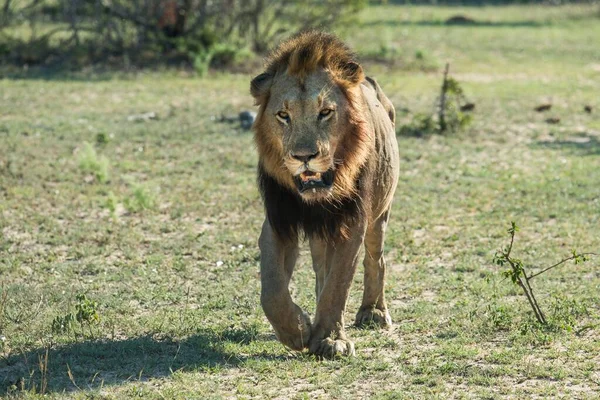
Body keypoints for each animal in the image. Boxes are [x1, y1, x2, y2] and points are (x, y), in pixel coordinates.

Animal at [250, 30, 398, 356]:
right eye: (283, 115)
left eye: (326, 112)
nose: (304, 156)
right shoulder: (278, 221)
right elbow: (272, 290)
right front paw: (298, 330)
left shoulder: (353, 222)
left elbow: (338, 284)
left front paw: (331, 339)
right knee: (320, 270)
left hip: (380, 214)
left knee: (376, 260)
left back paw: (373, 312)